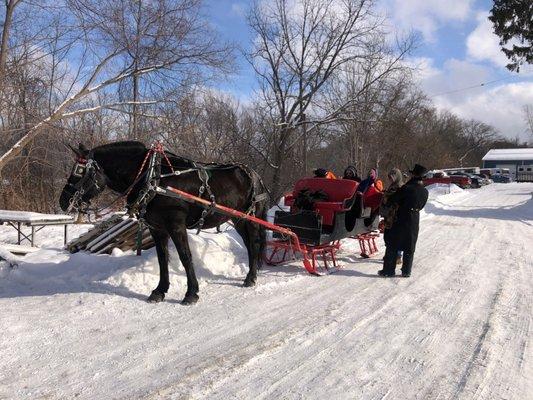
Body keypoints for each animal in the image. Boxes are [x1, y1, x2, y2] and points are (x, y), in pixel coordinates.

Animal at [58, 142, 268, 304]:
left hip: (250, 218)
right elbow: (162, 259)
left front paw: (191, 293)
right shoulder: (157, 228)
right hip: (238, 219)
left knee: (254, 243)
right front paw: (159, 291)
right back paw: (251, 274)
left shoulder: (176, 225)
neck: (153, 177)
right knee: (249, 244)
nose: (63, 201)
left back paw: (251, 278)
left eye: (80, 171)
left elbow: (185, 256)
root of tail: (255, 175)